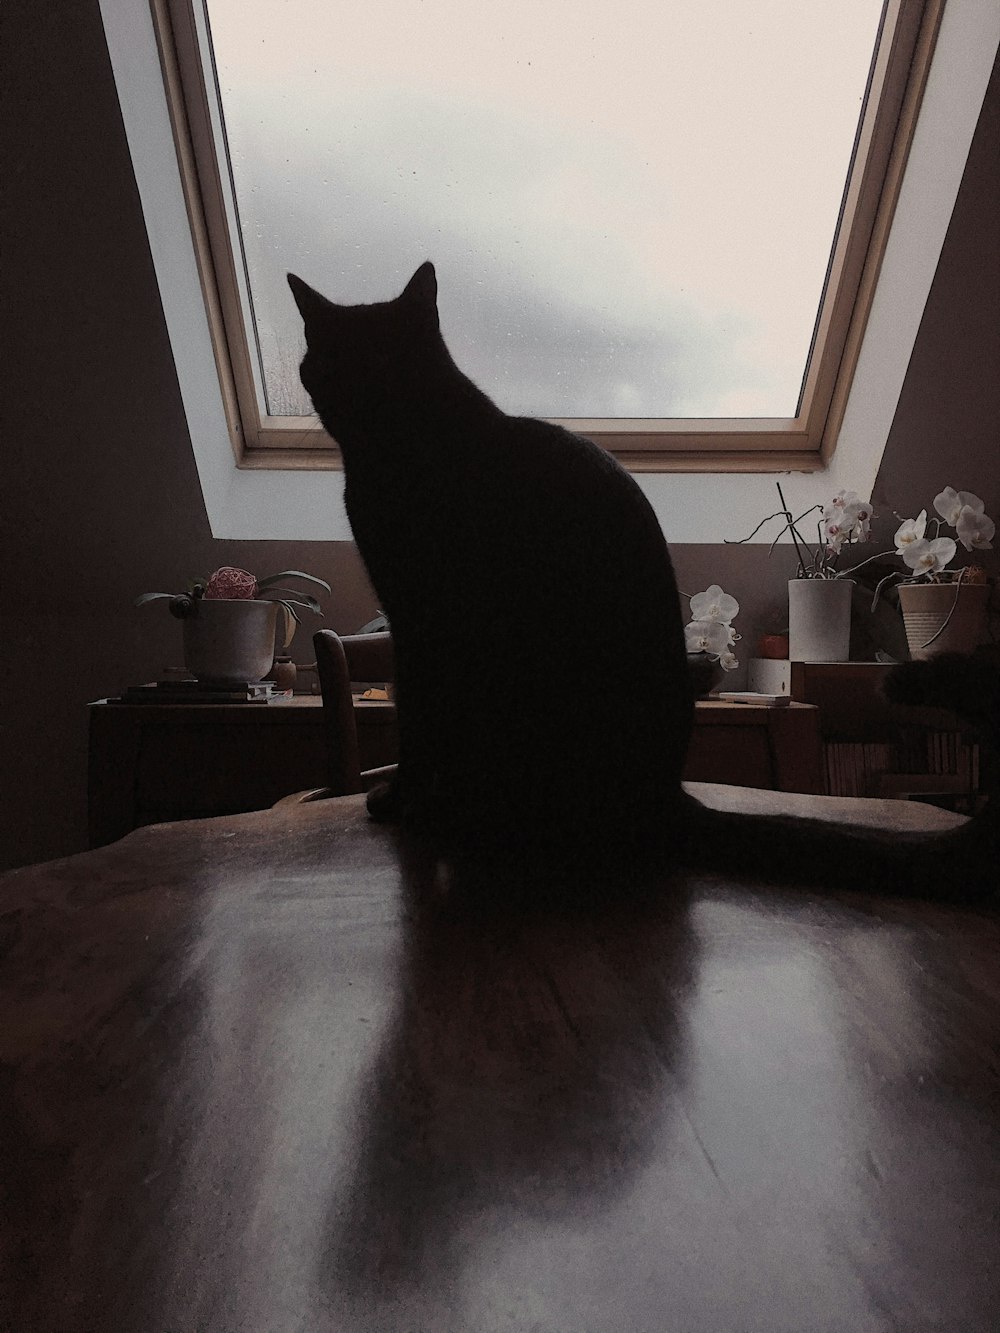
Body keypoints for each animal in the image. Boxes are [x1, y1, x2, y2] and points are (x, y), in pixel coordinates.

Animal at [288, 259, 997, 906]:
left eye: (385, 357)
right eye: (333, 361)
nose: (360, 387)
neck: (403, 451)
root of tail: (666, 797)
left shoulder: (424, 627)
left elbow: (418, 724)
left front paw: (400, 797)